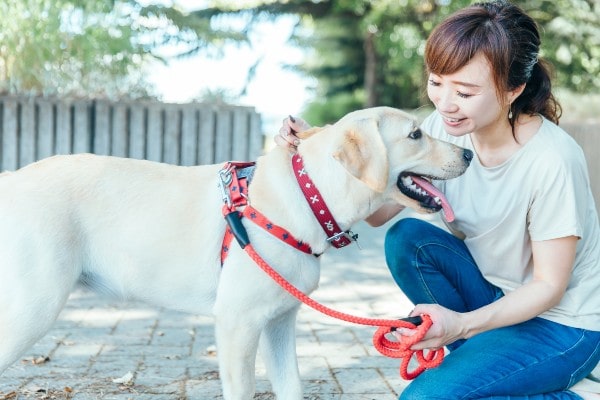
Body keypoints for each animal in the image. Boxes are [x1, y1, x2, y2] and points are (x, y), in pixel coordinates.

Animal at [0, 106, 468, 400]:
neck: (309, 195)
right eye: (415, 135)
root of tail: (12, 179)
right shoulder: (237, 324)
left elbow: (292, 388)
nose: (467, 152)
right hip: (34, 306)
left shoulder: (280, 322)